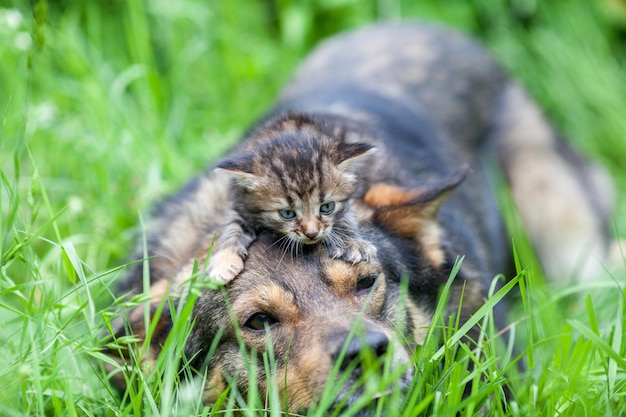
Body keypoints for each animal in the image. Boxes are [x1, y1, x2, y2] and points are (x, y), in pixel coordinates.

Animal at [207, 114, 376, 282]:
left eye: (327, 207)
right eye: (287, 213)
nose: (312, 233)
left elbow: (345, 217)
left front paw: (351, 243)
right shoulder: (241, 203)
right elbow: (232, 226)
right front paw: (224, 260)